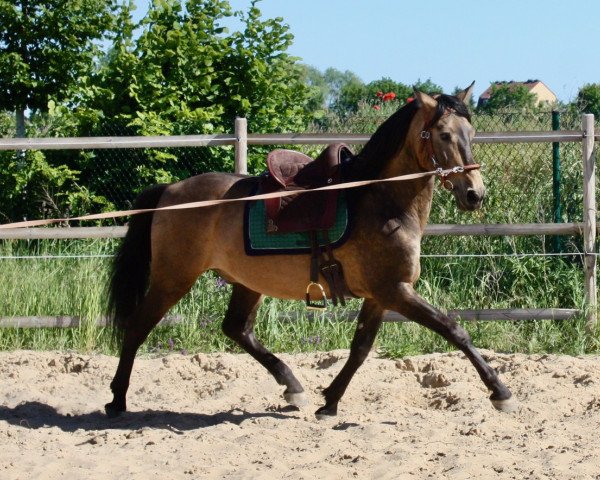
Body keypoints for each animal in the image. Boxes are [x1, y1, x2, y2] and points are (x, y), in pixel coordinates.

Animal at [104, 84, 516, 418]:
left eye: (471, 133)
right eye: (444, 134)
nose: (474, 194)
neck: (380, 199)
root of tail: (170, 192)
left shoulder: (381, 295)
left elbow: (360, 348)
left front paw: (329, 402)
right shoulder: (395, 291)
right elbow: (455, 330)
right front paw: (500, 391)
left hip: (246, 282)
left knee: (237, 329)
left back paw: (292, 386)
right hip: (173, 278)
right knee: (138, 326)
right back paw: (117, 400)